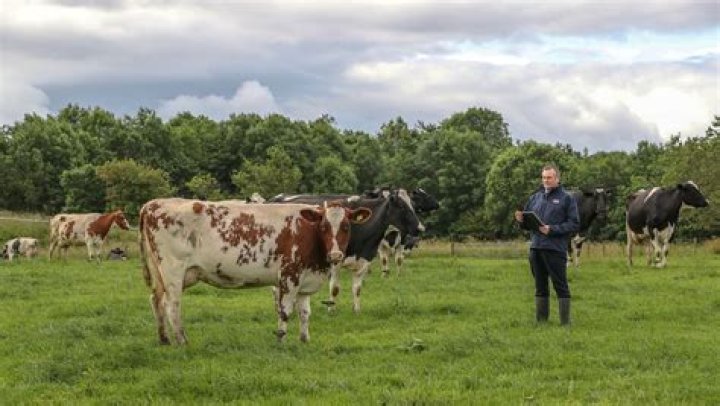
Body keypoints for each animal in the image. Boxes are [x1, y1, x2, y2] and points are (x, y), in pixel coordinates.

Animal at [139, 198, 371, 344]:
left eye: (346, 227)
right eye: (323, 227)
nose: (336, 255)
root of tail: (152, 204)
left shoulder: (306, 280)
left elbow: (305, 313)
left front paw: (305, 340)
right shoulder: (289, 276)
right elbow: (285, 311)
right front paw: (280, 340)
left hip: (163, 273)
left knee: (155, 300)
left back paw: (164, 339)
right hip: (173, 270)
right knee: (172, 305)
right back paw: (182, 340)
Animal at [268, 188, 424, 312]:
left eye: (413, 205)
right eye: (401, 206)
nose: (420, 228)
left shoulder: (365, 258)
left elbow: (357, 288)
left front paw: (356, 310)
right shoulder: (335, 258)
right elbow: (335, 288)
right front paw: (331, 309)